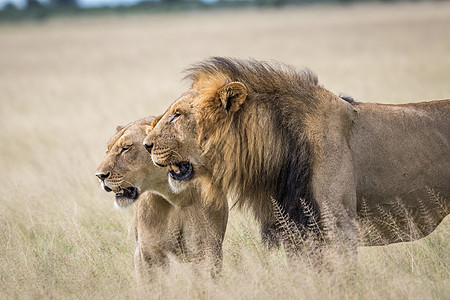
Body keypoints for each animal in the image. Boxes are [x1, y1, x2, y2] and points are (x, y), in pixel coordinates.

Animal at [95, 117, 229, 284]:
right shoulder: (148, 253)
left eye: (125, 148)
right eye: (107, 150)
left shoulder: (208, 250)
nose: (99, 175)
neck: (176, 198)